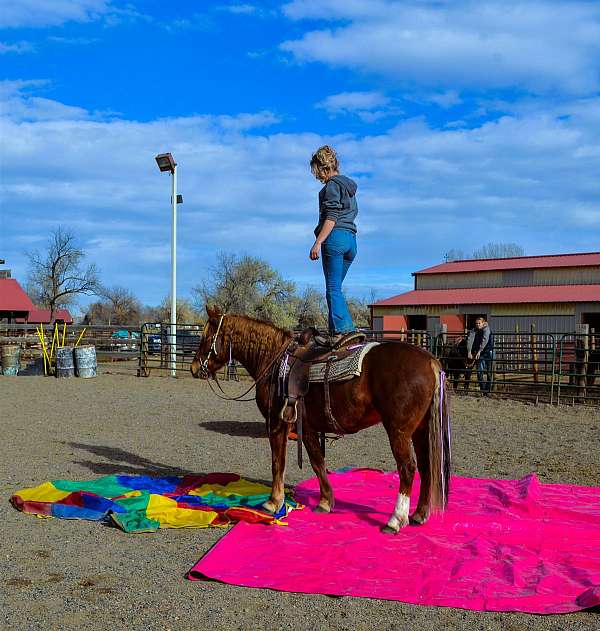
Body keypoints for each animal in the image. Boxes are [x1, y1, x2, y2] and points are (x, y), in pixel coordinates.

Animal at [192, 306, 450, 532]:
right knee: (426, 467)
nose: (195, 368)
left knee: (407, 468)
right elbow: (317, 462)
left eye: (205, 336)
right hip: (420, 430)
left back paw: (395, 520)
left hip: (398, 430)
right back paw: (419, 515)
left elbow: (279, 463)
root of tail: (430, 361)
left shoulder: (277, 424)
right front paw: (326, 502)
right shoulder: (305, 427)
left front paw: (273, 502)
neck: (273, 361)